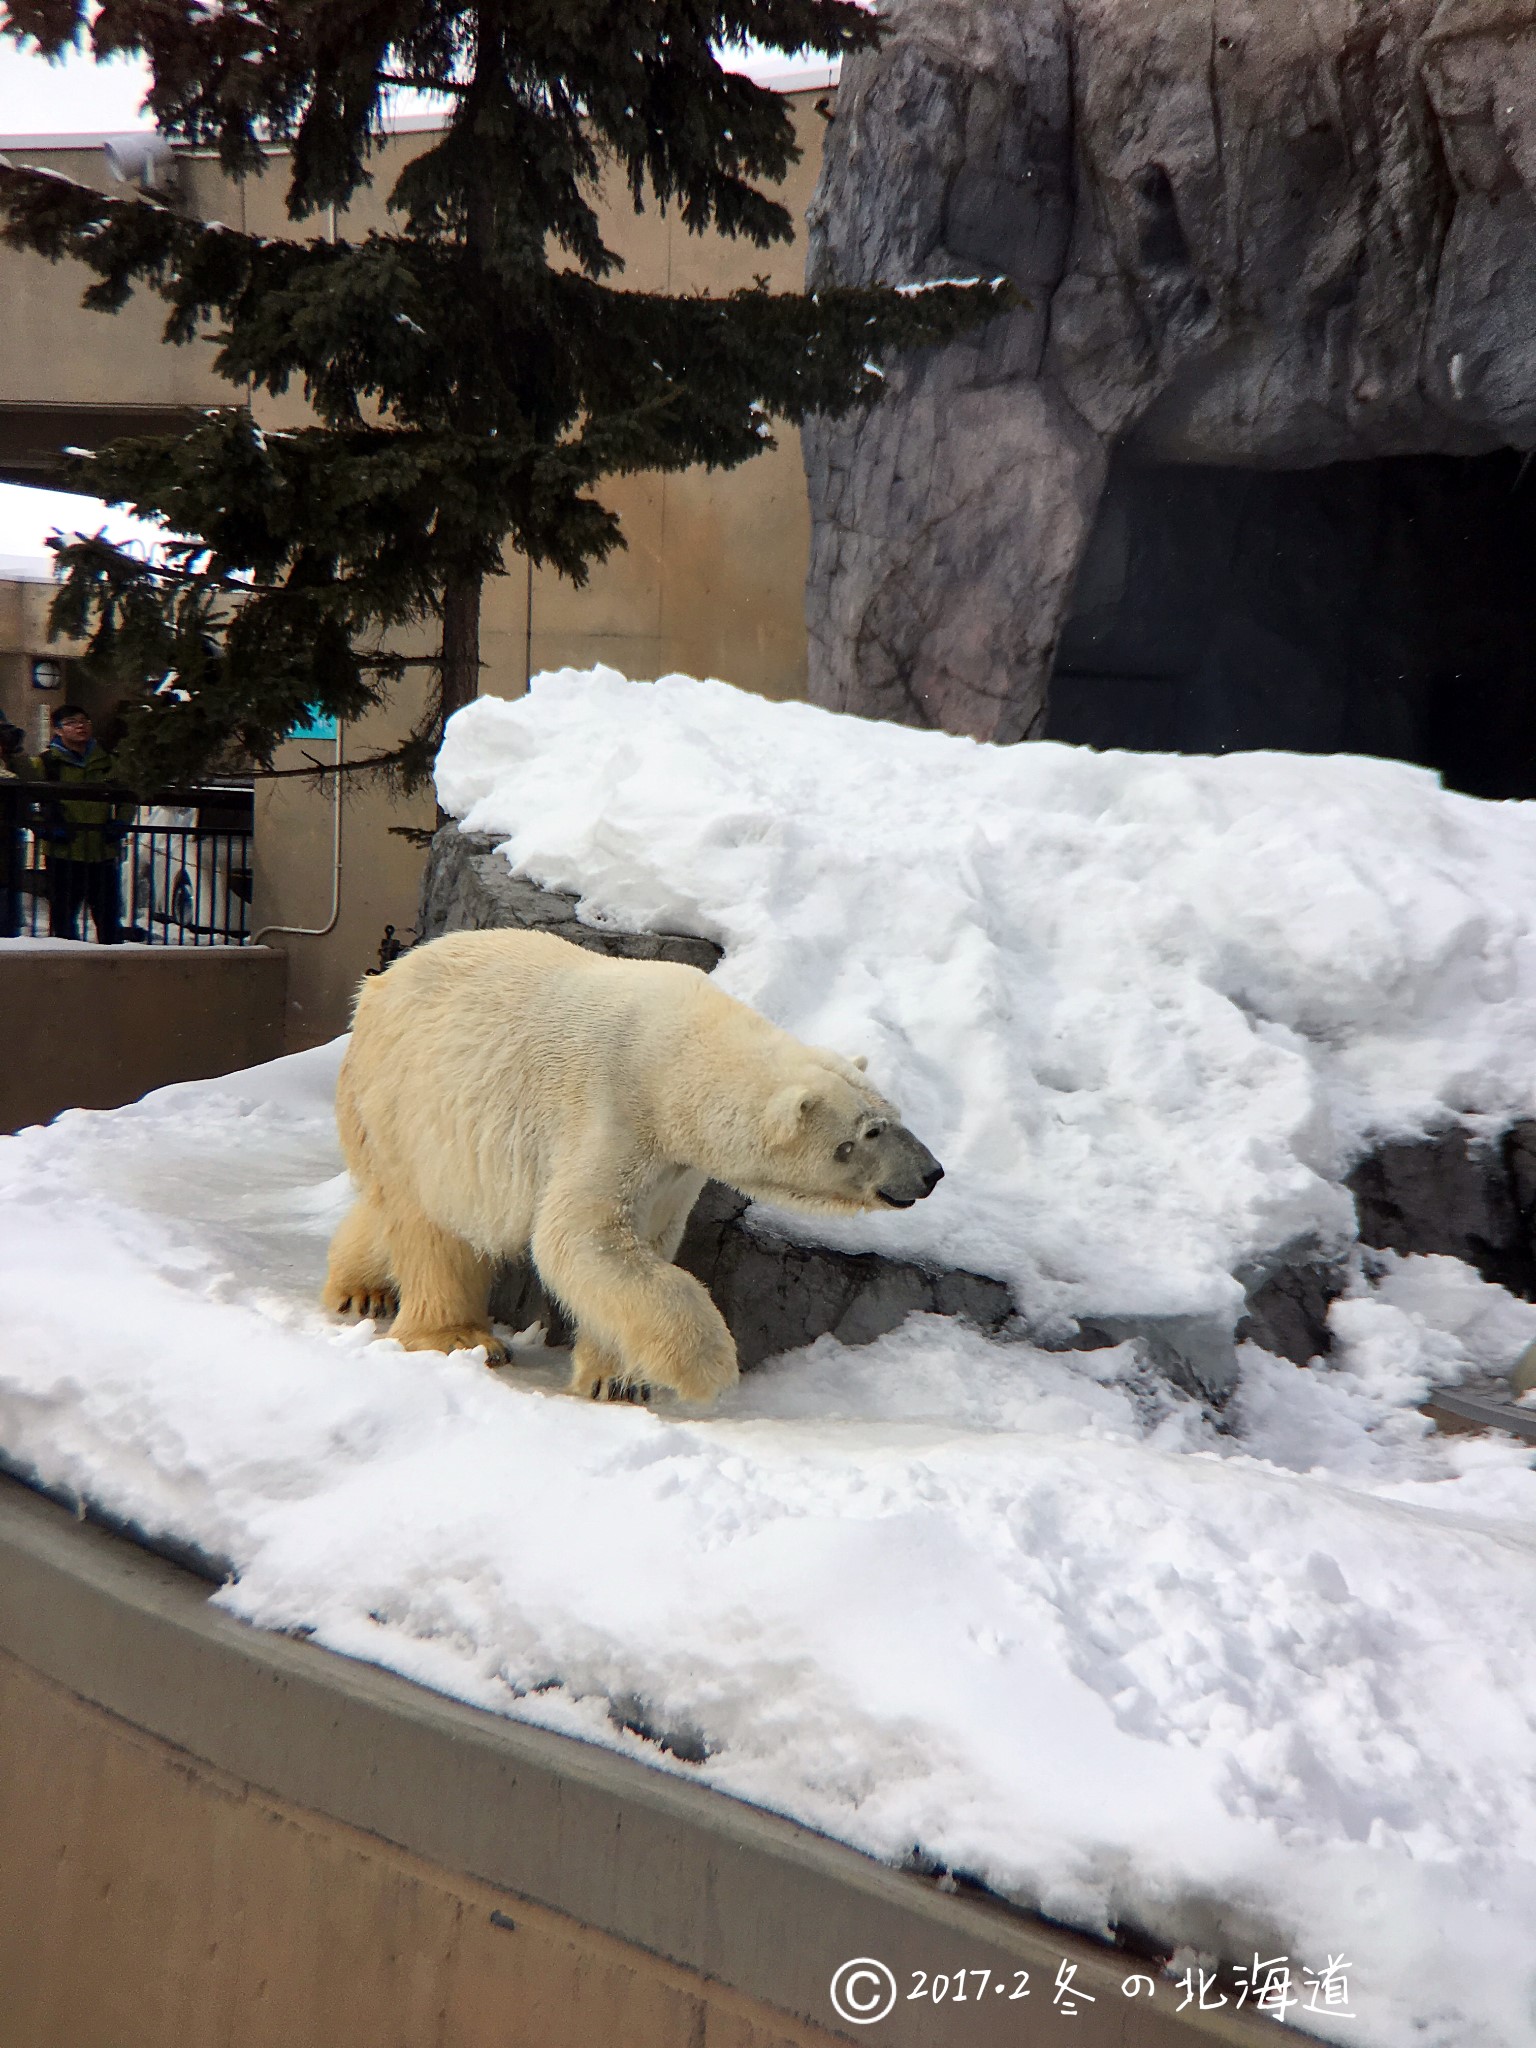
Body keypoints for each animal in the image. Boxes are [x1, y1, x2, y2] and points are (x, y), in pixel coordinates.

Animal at [325, 937, 946, 1400]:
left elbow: (642, 1241)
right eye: (869, 1133)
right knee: (432, 1225)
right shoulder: (611, 1110)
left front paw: (618, 1378)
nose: (932, 1173)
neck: (675, 1058)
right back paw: (453, 1335)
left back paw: (361, 1289)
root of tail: (377, 983)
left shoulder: (672, 1166)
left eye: (894, 1115)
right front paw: (709, 1366)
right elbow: (581, 1237)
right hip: (406, 1100)